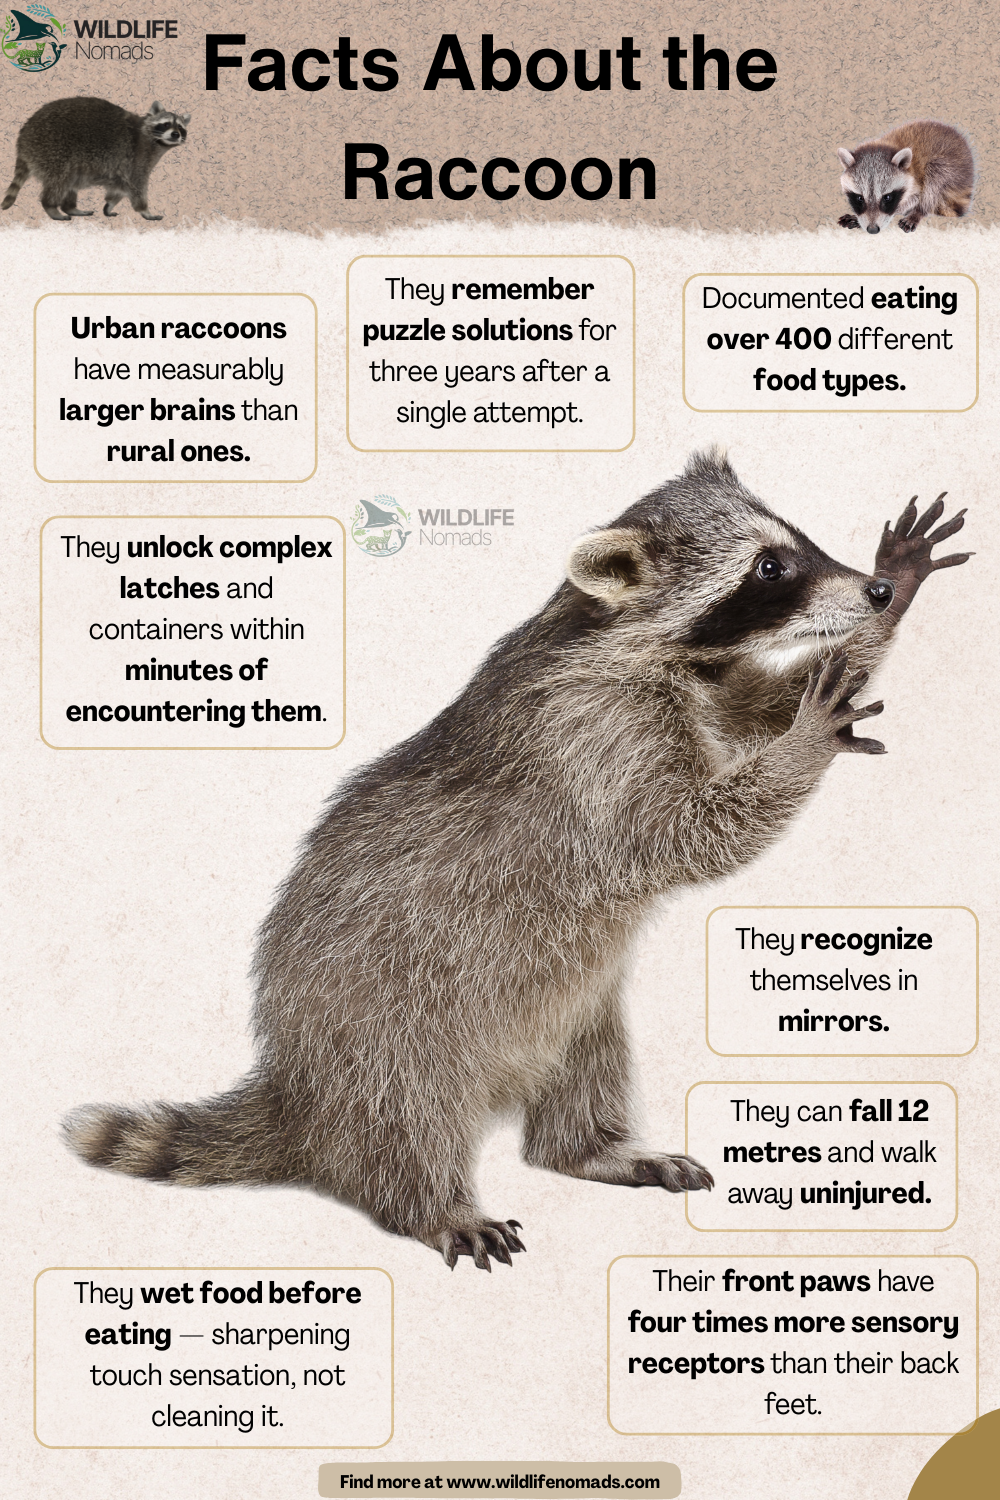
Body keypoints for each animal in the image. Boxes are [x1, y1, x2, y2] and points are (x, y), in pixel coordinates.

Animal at [2, 97, 189, 221]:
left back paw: (70, 207)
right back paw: (51, 207)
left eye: (180, 127)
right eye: (166, 124)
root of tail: (23, 136)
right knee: (59, 180)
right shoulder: (138, 156)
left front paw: (110, 205)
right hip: (52, 149)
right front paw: (145, 210)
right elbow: (136, 185)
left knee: (70, 182)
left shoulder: (122, 167)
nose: (175, 134)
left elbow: (119, 187)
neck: (154, 140)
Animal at [64, 454, 970, 1270]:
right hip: (387, 1021)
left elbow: (758, 708)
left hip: (575, 1007)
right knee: (407, 1119)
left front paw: (885, 610)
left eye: (797, 542)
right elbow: (685, 834)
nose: (871, 592)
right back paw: (434, 1202)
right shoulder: (592, 739)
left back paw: (592, 1147)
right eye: (769, 567)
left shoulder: (704, 688)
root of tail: (300, 1088)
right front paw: (806, 740)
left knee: (587, 1067)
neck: (626, 639)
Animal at [837, 120, 973, 233]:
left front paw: (912, 210)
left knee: (936, 176)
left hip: (954, 171)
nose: (872, 230)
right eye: (860, 198)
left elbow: (916, 198)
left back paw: (919, 211)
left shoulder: (916, 181)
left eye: (887, 197)